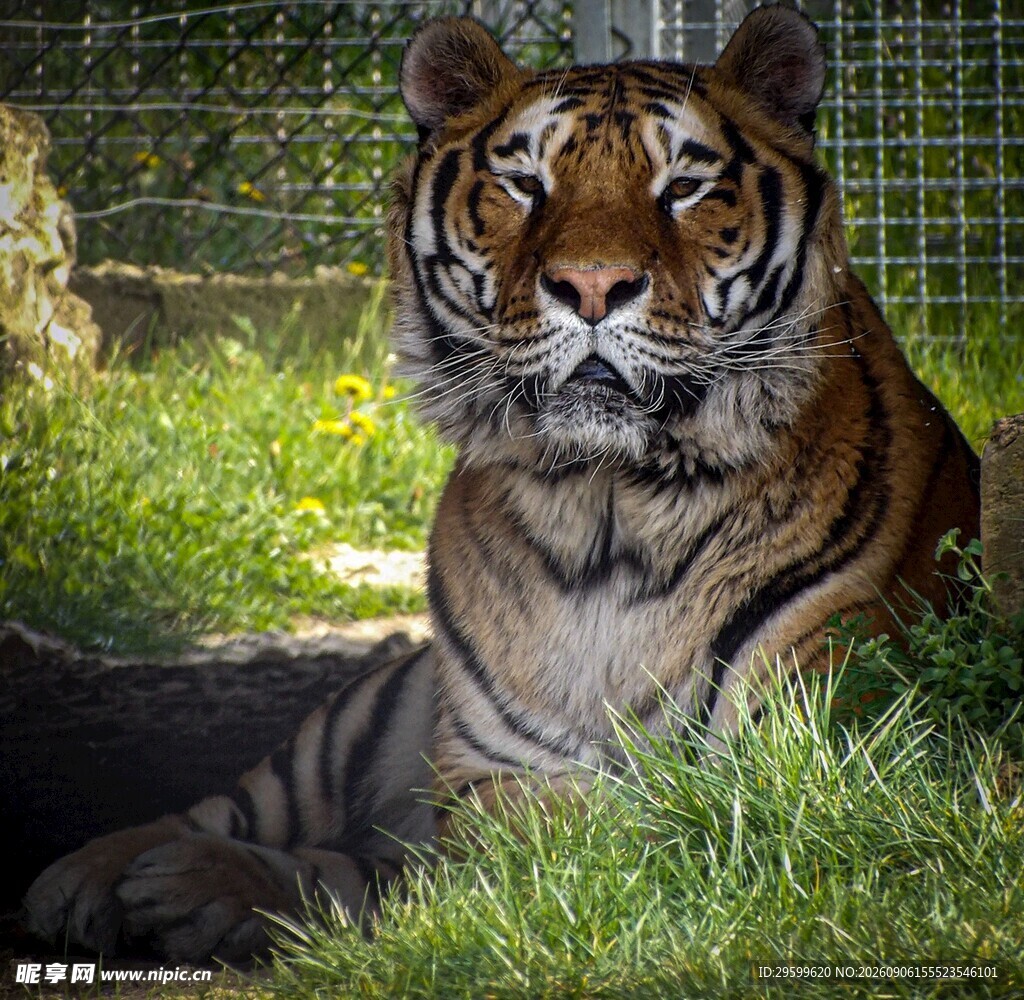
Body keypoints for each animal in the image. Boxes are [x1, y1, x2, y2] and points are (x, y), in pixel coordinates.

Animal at [23, 5, 980, 964]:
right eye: (525, 184)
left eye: (684, 187)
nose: (592, 285)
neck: (610, 509)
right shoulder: (499, 772)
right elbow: (525, 857)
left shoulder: (795, 747)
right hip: (355, 719)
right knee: (241, 813)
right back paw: (89, 880)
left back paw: (191, 891)